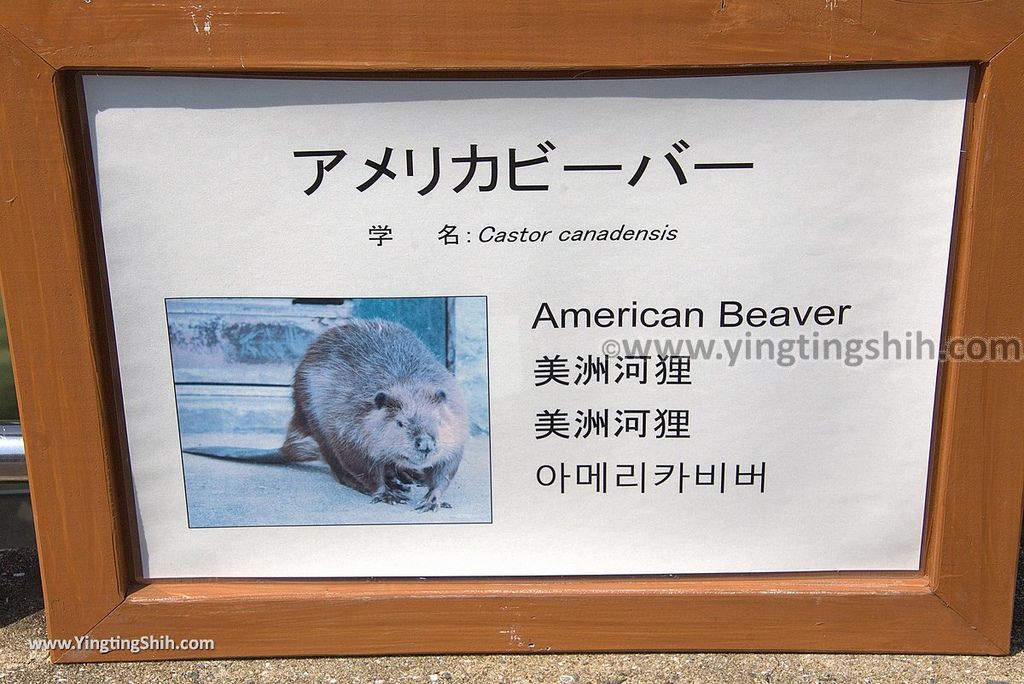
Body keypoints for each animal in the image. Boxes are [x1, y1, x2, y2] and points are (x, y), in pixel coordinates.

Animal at [280, 319, 471, 507]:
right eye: (400, 423)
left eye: (439, 420)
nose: (425, 444)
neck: (408, 384)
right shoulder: (347, 426)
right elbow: (362, 467)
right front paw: (388, 494)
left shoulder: (456, 422)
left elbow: (446, 469)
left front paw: (432, 499)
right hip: (312, 415)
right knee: (336, 466)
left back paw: (410, 476)